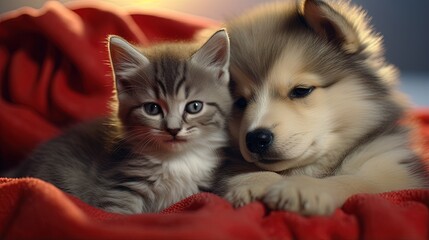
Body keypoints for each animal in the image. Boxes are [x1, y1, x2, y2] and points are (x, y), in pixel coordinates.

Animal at [6, 29, 232, 215]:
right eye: (152, 109)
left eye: (194, 107)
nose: (173, 129)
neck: (176, 161)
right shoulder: (119, 186)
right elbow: (118, 215)